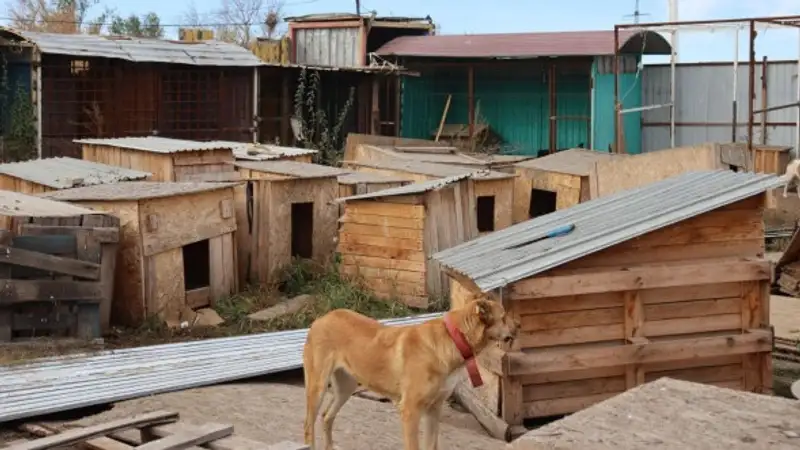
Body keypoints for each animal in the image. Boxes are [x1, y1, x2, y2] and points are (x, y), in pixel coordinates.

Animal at [302, 298, 520, 450]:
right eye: (503, 317)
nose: (519, 327)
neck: (453, 338)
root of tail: (322, 318)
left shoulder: (434, 409)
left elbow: (431, 445)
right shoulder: (410, 411)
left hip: (345, 389)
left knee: (327, 416)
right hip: (317, 388)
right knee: (308, 426)